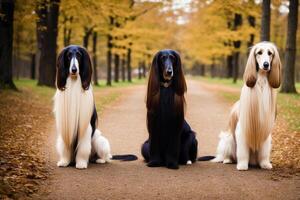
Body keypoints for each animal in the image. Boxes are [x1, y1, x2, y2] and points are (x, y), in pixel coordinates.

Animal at [211, 41, 282, 170]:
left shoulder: (266, 129)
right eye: (259, 52)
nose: (266, 65)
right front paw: (242, 165)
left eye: (270, 53)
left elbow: (264, 152)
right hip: (228, 139)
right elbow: (242, 151)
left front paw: (265, 164)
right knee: (229, 154)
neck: (261, 82)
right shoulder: (242, 129)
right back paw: (228, 160)